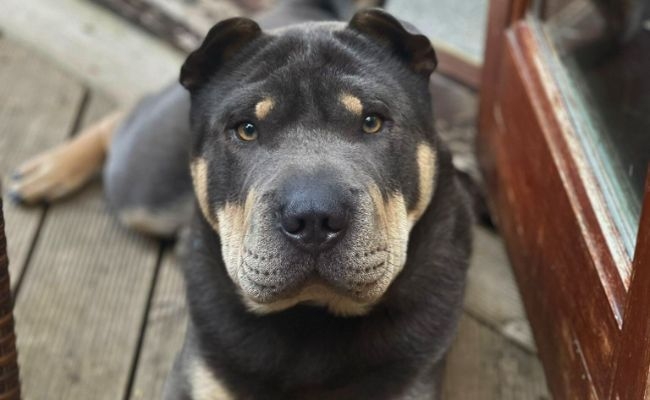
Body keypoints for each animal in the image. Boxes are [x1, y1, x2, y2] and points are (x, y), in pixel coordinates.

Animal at [6, 1, 470, 398]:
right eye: (246, 129)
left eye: (372, 121)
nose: (313, 217)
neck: (311, 315)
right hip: (140, 191)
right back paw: (46, 171)